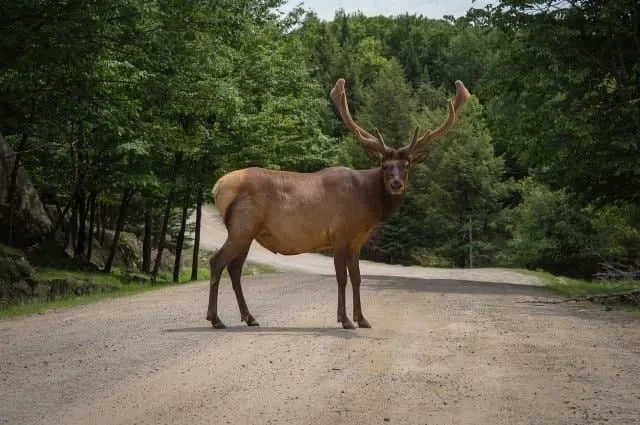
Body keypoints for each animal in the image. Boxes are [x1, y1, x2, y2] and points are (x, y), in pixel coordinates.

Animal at [206, 77, 470, 328]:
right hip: (242, 226)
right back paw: (215, 318)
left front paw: (362, 319)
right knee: (217, 262)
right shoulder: (339, 233)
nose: (396, 184)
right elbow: (341, 277)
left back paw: (249, 317)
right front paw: (344, 320)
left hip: (246, 231)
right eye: (384, 165)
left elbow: (357, 277)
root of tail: (218, 186)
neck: (368, 205)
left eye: (407, 166)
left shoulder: (357, 240)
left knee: (235, 268)